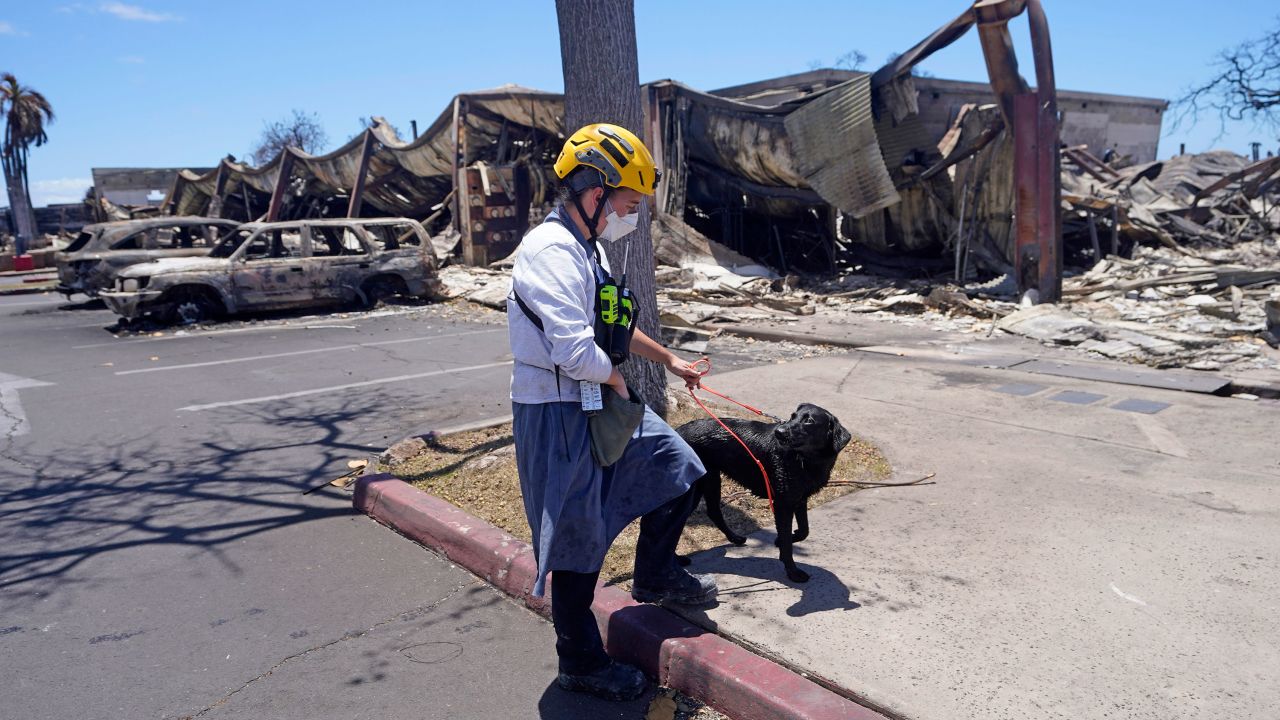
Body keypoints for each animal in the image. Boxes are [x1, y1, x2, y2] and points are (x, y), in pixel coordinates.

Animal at [675, 404, 855, 584]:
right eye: (793, 416)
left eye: (809, 421)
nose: (779, 432)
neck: (805, 460)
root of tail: (677, 430)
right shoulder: (783, 504)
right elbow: (788, 543)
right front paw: (792, 571)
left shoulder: (799, 499)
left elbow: (804, 530)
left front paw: (788, 537)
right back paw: (677, 560)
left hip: (708, 481)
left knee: (713, 511)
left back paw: (735, 538)